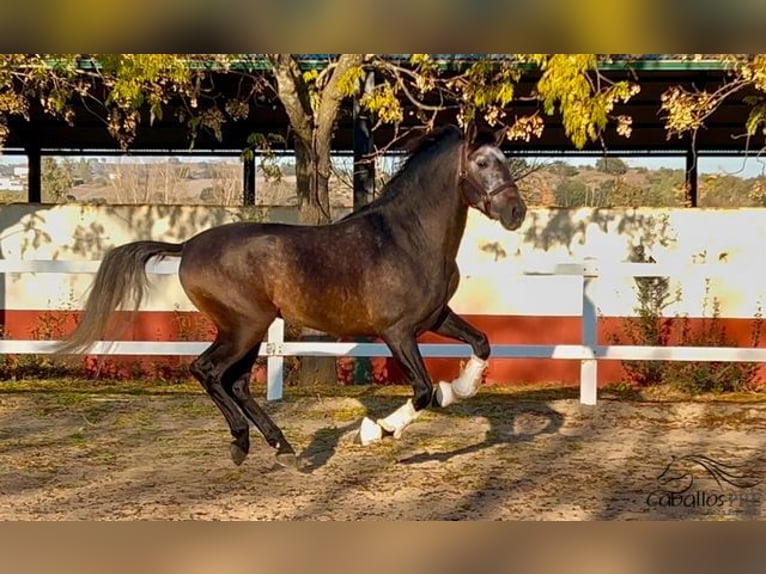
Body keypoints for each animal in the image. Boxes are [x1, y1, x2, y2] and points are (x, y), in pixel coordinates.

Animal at [55, 121, 528, 468]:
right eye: (483, 162)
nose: (516, 212)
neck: (408, 237)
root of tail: (187, 247)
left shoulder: (434, 317)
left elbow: (482, 343)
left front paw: (458, 388)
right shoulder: (397, 331)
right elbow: (422, 391)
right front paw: (376, 431)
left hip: (250, 328)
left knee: (236, 382)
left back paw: (281, 449)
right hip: (243, 326)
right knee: (208, 371)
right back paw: (245, 444)